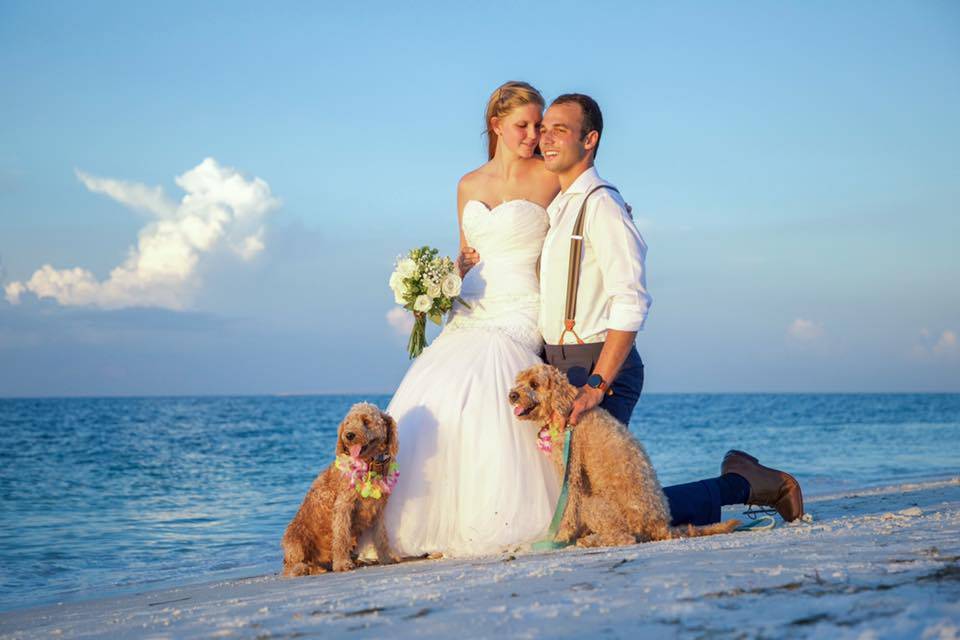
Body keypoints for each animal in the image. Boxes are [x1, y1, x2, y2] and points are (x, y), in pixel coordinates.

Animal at [280, 400, 400, 576]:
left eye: (366, 421)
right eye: (348, 422)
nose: (349, 435)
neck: (368, 466)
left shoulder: (377, 511)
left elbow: (381, 537)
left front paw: (386, 557)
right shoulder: (343, 506)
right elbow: (341, 537)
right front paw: (342, 564)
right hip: (294, 538)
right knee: (291, 565)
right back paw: (304, 568)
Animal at [512, 362, 740, 548]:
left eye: (534, 384)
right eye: (519, 381)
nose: (512, 395)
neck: (566, 410)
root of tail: (662, 526)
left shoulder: (572, 474)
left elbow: (568, 510)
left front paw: (561, 537)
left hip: (595, 505)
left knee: (625, 538)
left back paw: (591, 541)